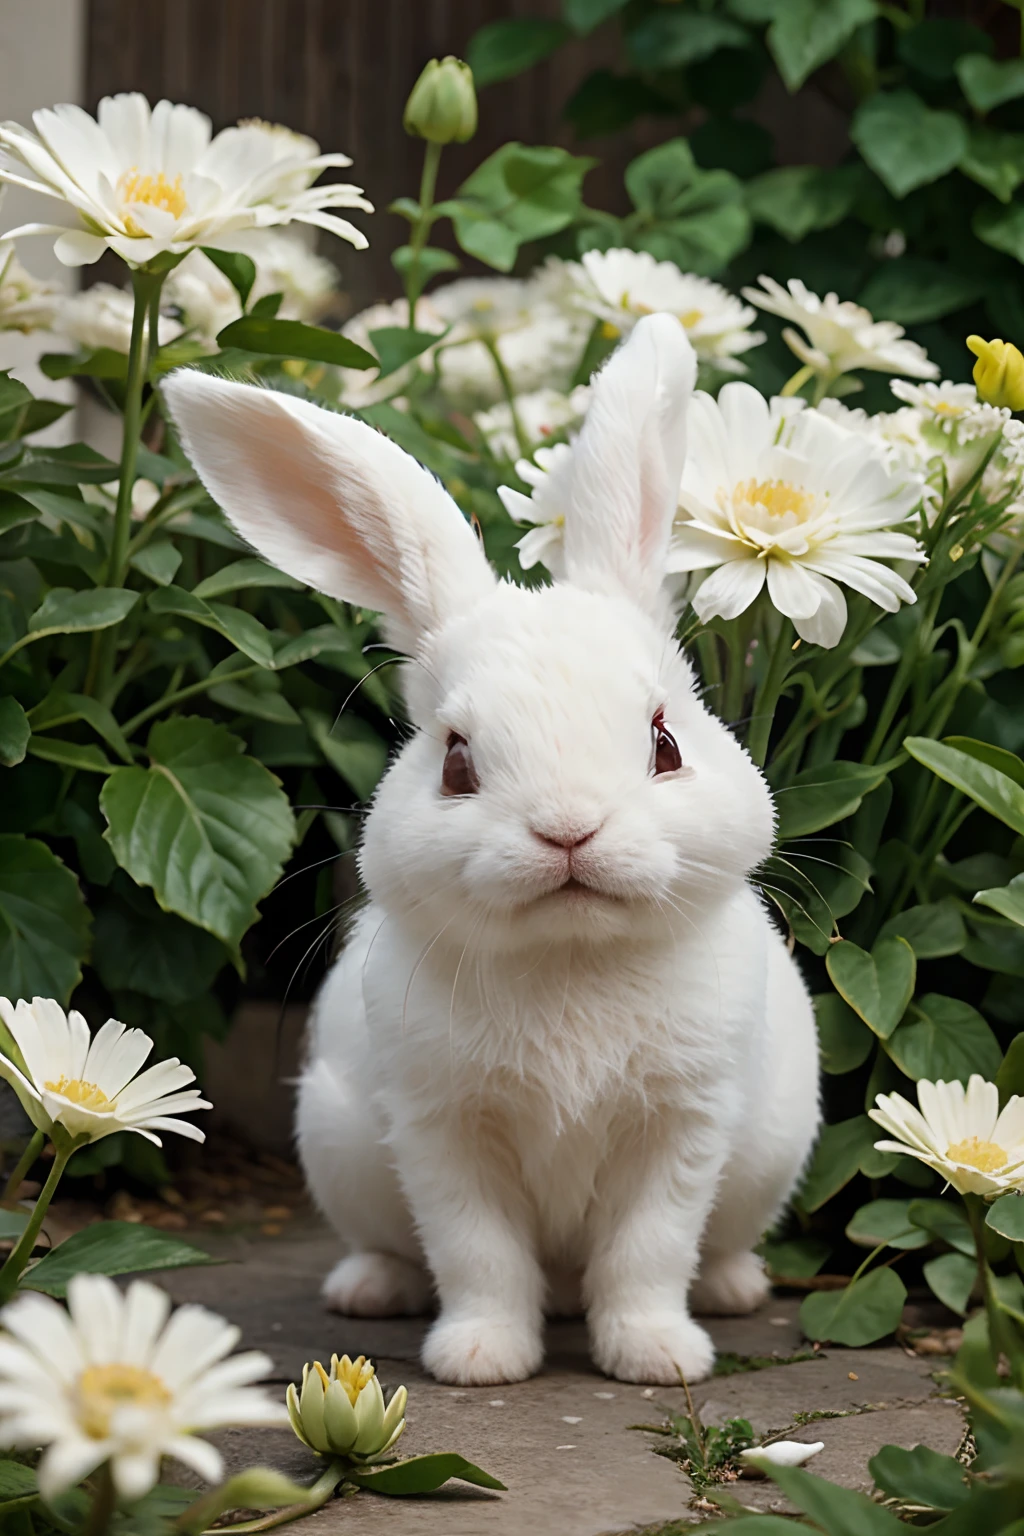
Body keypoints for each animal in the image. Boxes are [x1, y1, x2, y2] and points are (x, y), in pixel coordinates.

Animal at [164, 314, 822, 1394]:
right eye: (457, 761)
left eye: (665, 743)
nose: (568, 829)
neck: (568, 957)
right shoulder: (441, 1131)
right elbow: (479, 1253)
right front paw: (479, 1359)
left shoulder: (683, 1129)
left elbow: (647, 1251)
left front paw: (656, 1357)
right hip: (341, 1145)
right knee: (396, 1247)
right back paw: (368, 1292)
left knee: (713, 1245)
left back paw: (733, 1291)